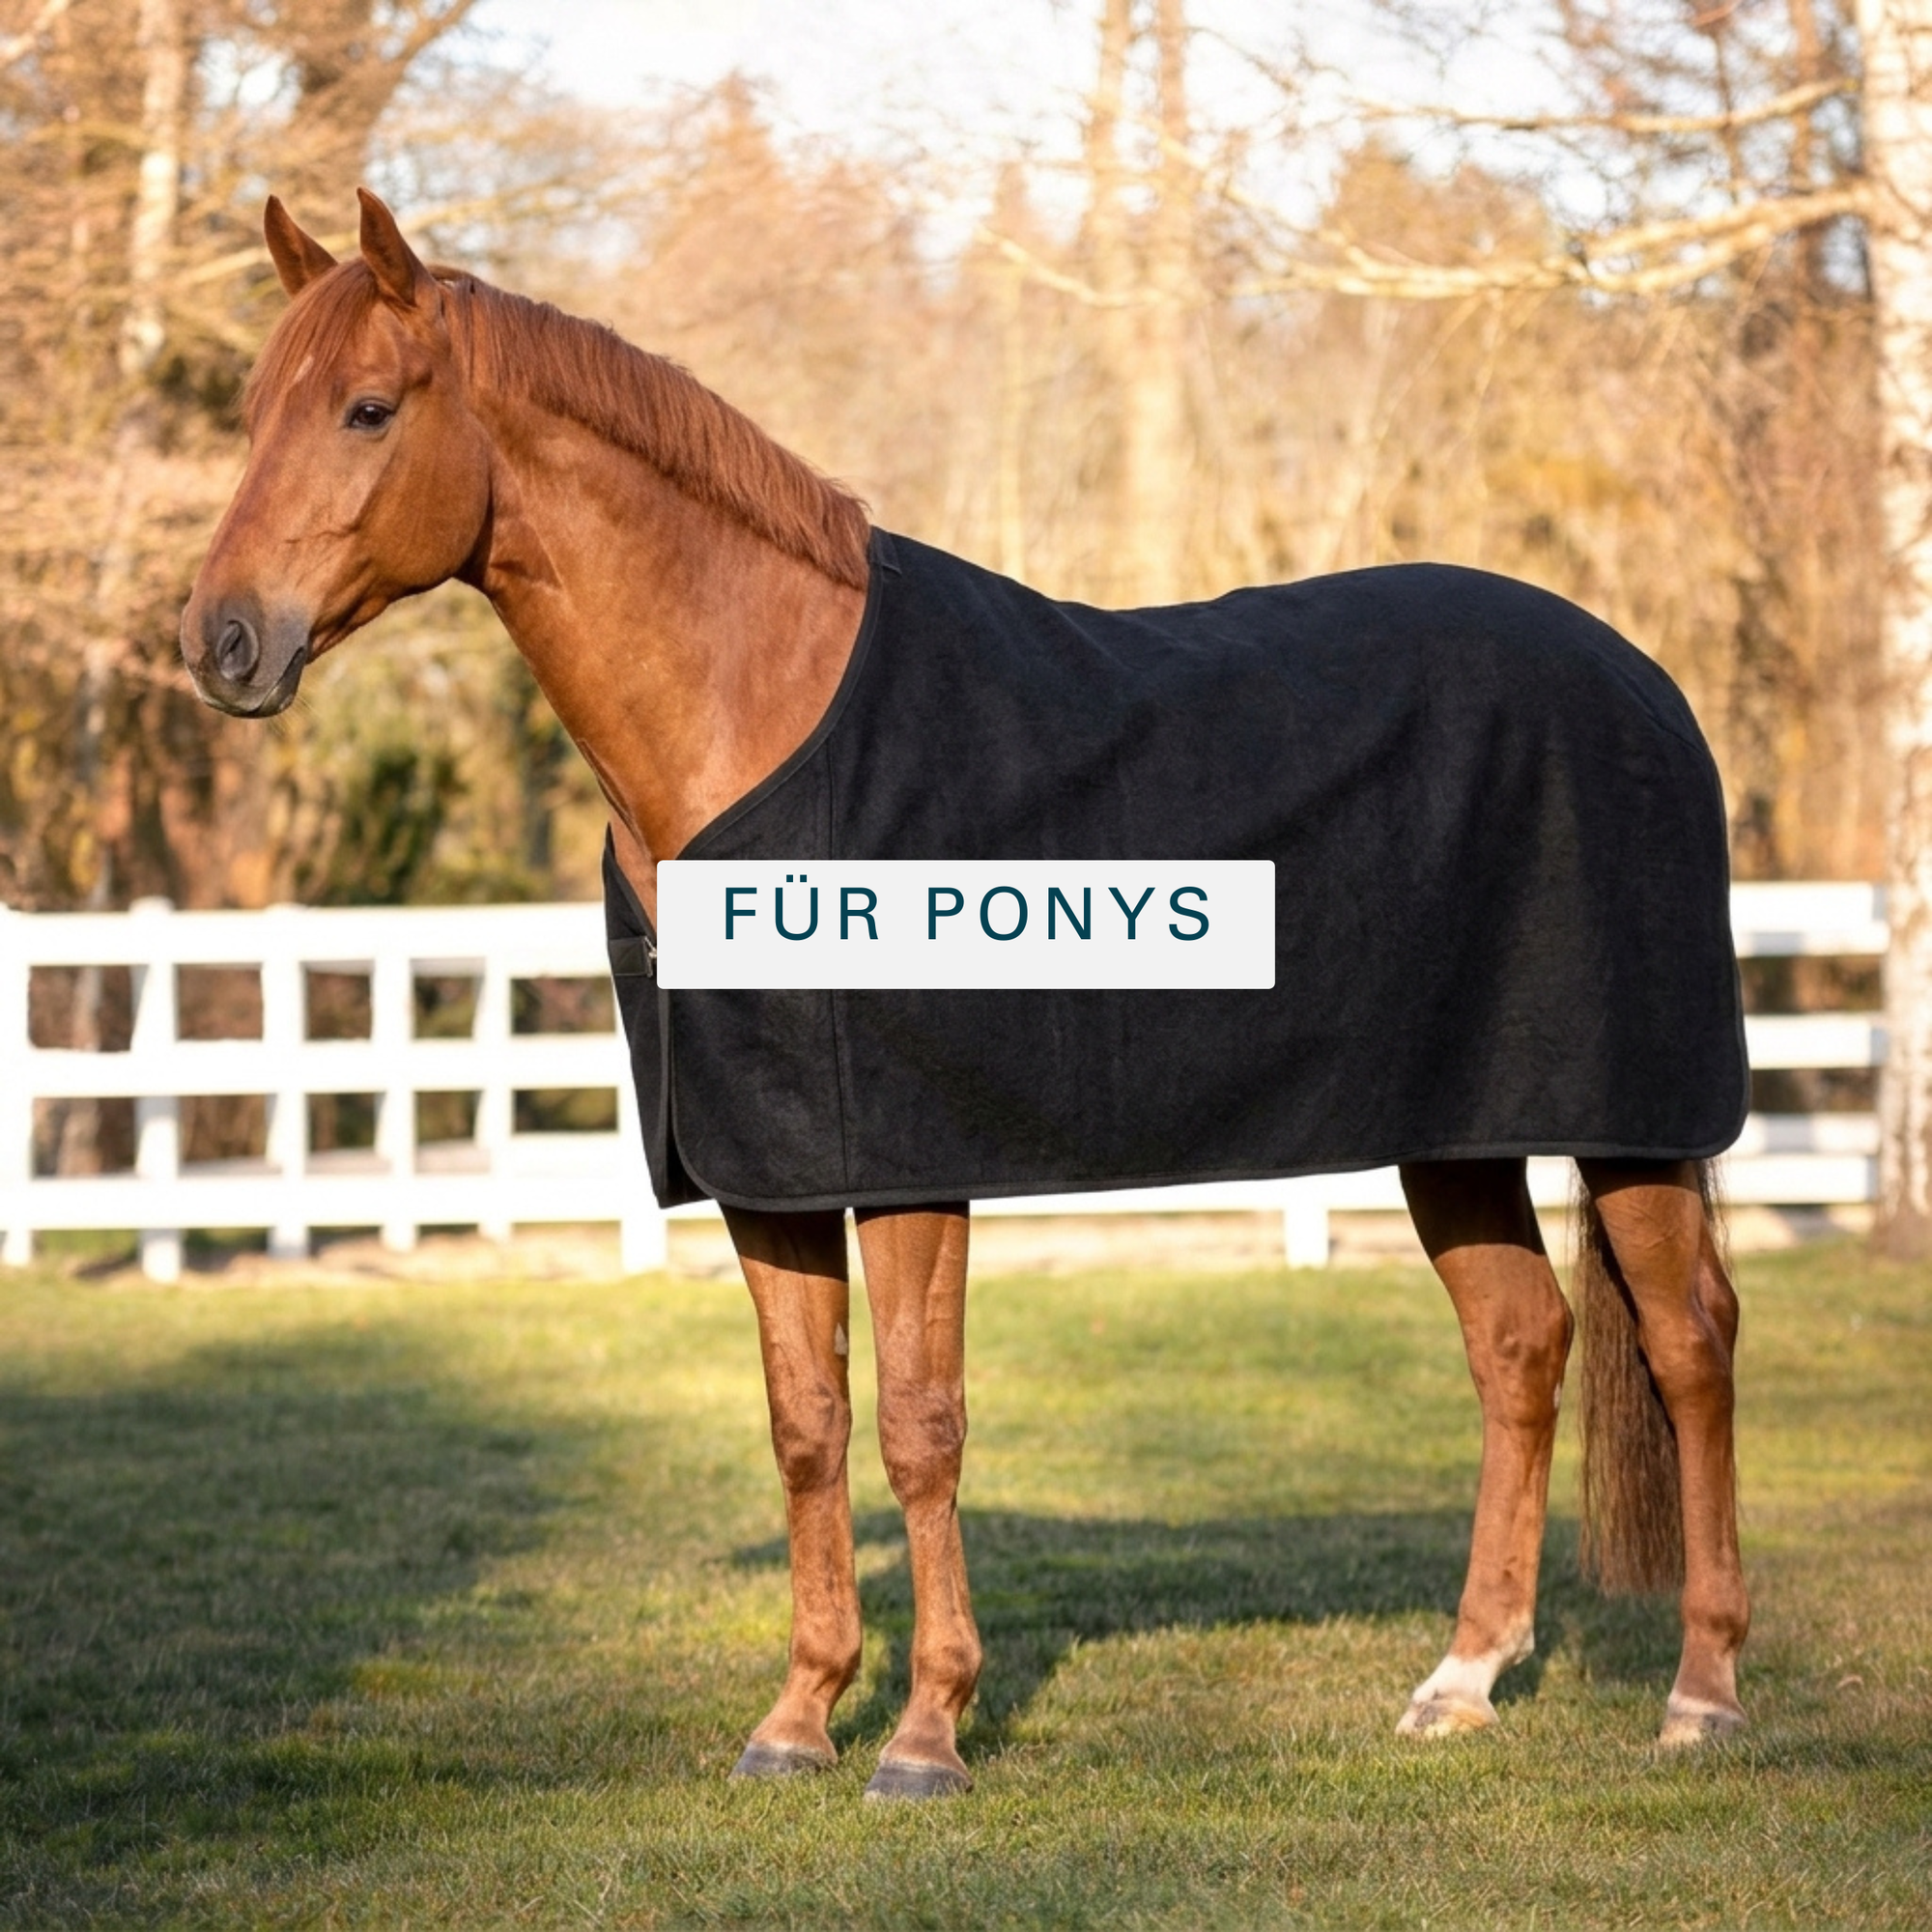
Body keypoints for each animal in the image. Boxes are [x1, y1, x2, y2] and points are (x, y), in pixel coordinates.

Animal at [180, 190, 1749, 1801]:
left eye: (370, 408)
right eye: (252, 413)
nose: (220, 642)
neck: (760, 722)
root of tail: (1645, 682)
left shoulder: (908, 1164)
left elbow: (919, 1428)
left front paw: (928, 1732)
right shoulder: (770, 1169)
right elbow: (807, 1424)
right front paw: (801, 1717)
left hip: (1630, 1124)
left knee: (1692, 1343)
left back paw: (1702, 1693)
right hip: (1458, 1130)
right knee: (1521, 1343)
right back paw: (1464, 1680)